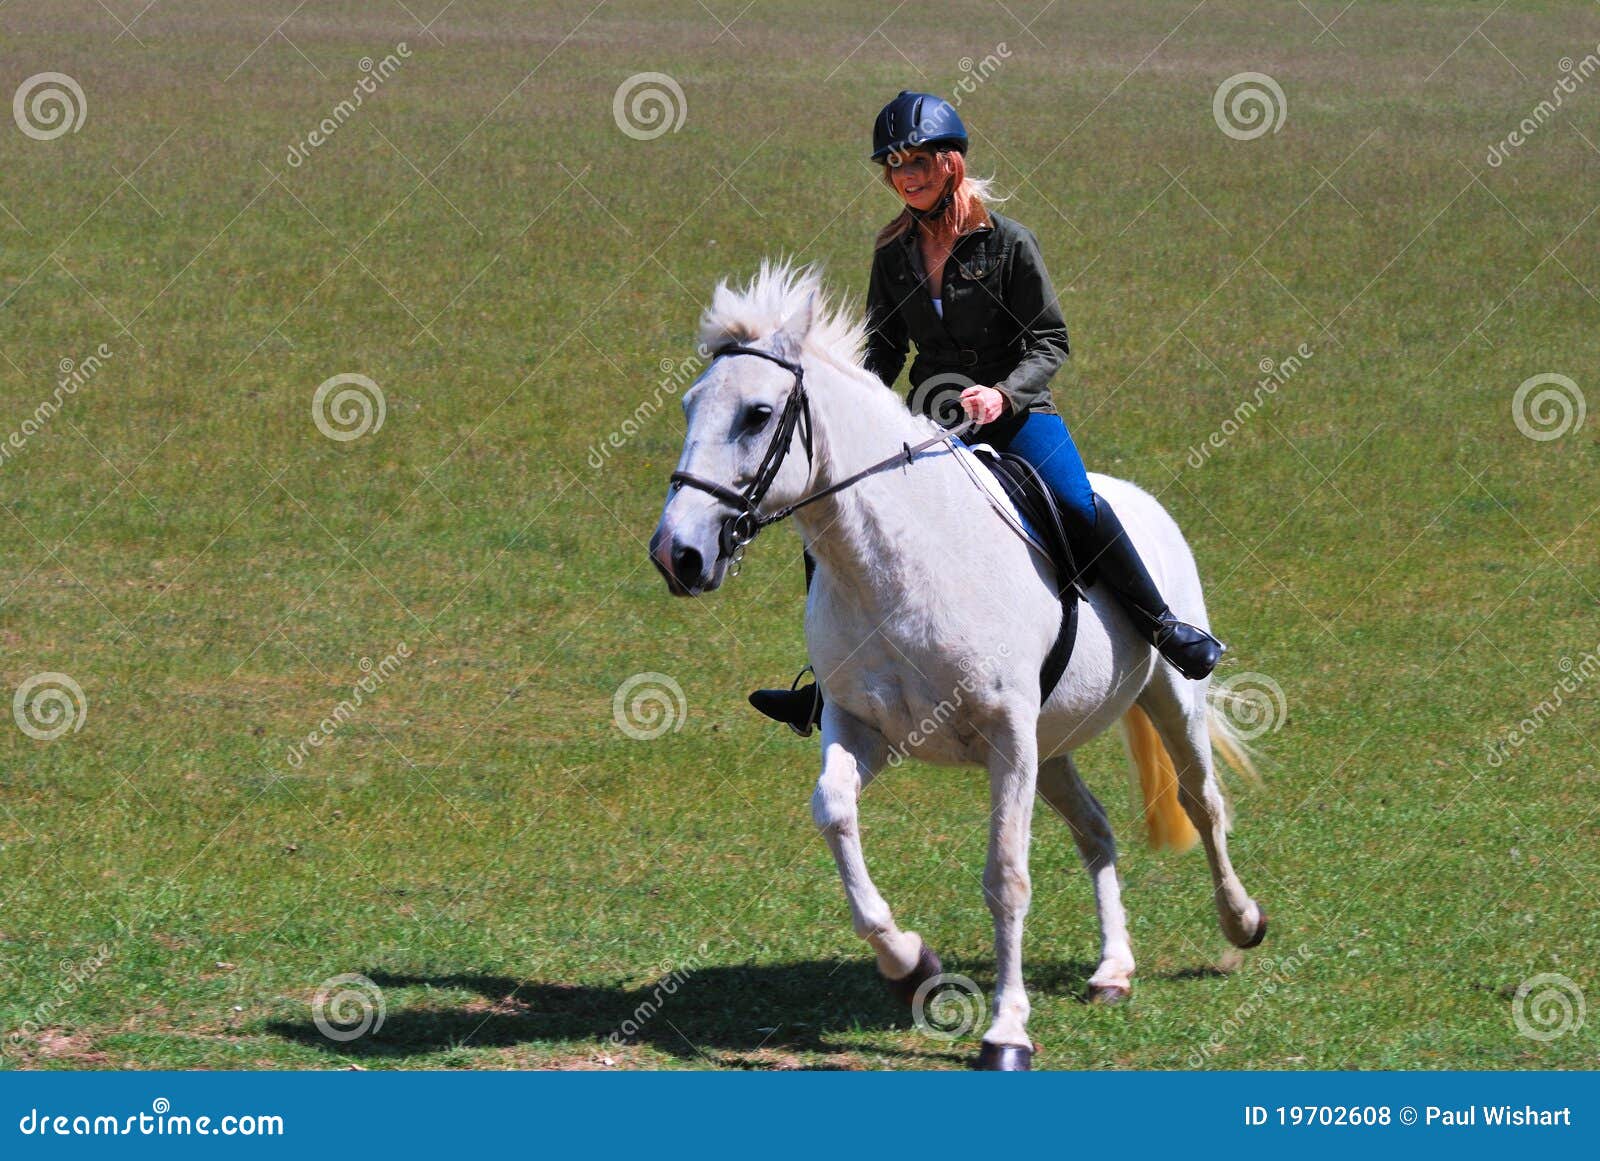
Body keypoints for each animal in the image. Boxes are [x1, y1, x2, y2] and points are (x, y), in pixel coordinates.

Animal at [649, 261, 1266, 1070]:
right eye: (691, 405)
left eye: (756, 414)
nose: (677, 554)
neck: (897, 562)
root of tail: (1136, 499)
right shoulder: (866, 725)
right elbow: (833, 809)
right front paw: (909, 962)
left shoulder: (1007, 736)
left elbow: (1006, 878)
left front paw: (1006, 1032)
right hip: (1051, 747)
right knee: (1096, 829)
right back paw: (1112, 969)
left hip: (1167, 699)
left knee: (1203, 801)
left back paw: (1241, 922)